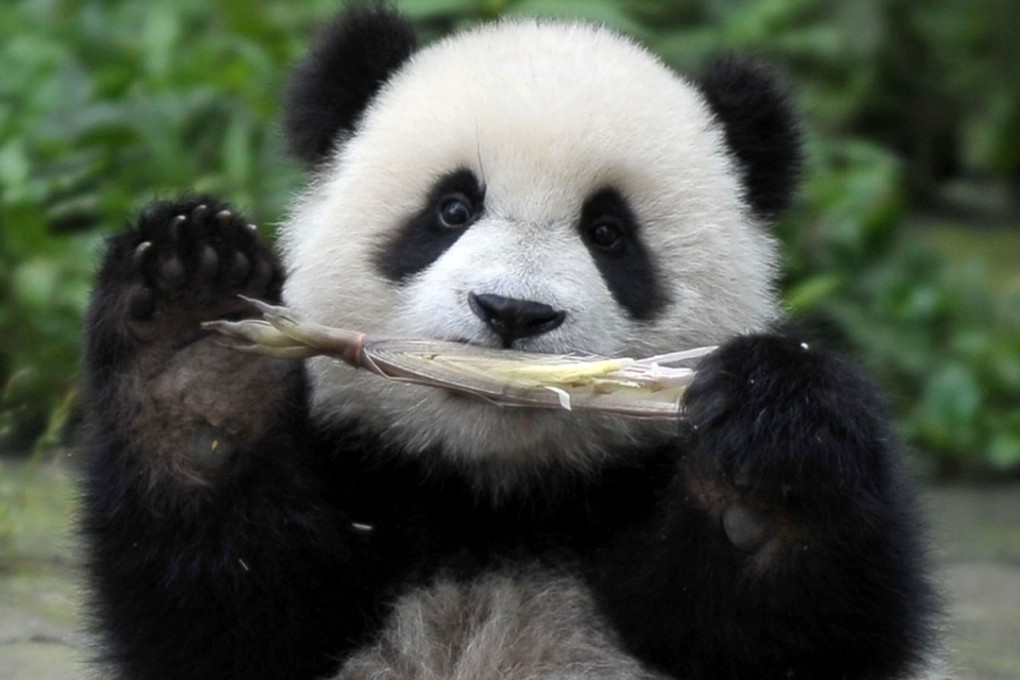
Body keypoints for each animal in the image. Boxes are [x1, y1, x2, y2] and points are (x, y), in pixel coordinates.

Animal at [81, 5, 940, 680]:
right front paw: (196, 356)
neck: (496, 499)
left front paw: (760, 475)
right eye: (452, 209)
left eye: (608, 233)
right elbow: (228, 611)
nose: (513, 313)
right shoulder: (359, 481)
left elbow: (797, 630)